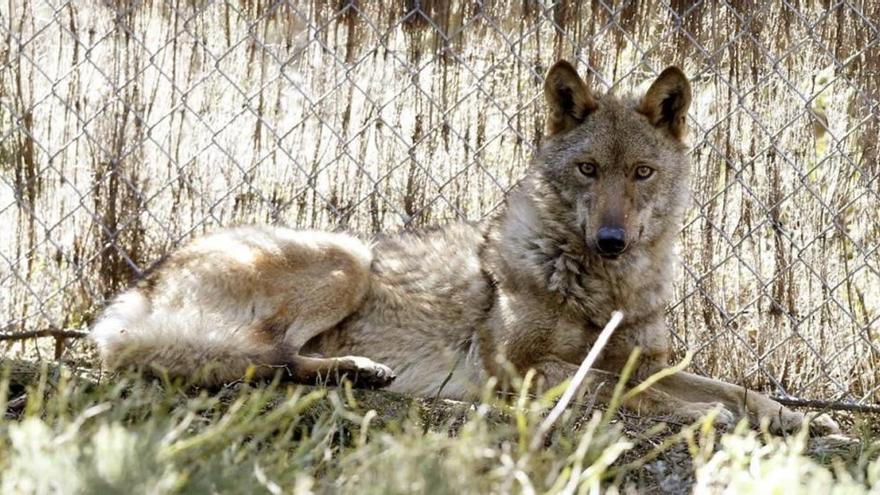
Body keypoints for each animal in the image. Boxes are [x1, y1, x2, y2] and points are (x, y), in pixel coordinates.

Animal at [89, 61, 840, 434]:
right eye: (588, 170)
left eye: (642, 173)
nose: (612, 239)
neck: (605, 287)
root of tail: (130, 299)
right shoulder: (523, 371)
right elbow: (624, 389)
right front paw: (705, 414)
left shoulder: (645, 357)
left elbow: (724, 384)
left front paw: (790, 416)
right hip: (346, 257)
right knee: (258, 356)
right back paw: (362, 370)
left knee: (266, 361)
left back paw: (361, 373)